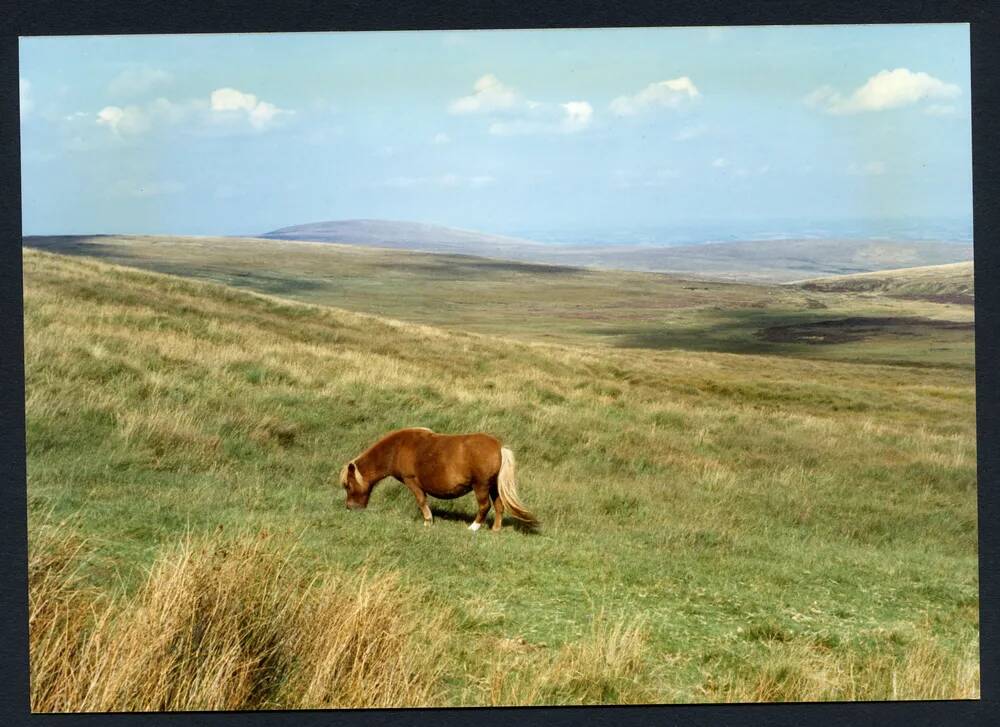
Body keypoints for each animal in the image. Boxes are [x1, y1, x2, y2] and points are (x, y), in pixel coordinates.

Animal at [338, 426, 540, 536]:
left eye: (348, 485)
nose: (350, 508)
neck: (398, 448)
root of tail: (499, 447)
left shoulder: (412, 482)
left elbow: (421, 501)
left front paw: (428, 521)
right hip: (493, 487)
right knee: (499, 506)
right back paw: (496, 529)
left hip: (481, 486)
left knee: (484, 506)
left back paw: (473, 527)